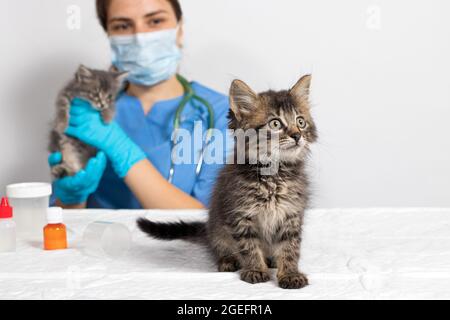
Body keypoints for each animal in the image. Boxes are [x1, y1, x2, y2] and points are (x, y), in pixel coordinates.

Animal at [137, 75, 316, 290]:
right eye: (275, 124)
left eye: (301, 121)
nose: (297, 135)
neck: (274, 176)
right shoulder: (240, 213)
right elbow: (249, 246)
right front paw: (255, 269)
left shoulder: (292, 213)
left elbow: (290, 248)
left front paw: (290, 273)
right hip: (218, 230)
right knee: (220, 248)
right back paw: (229, 261)